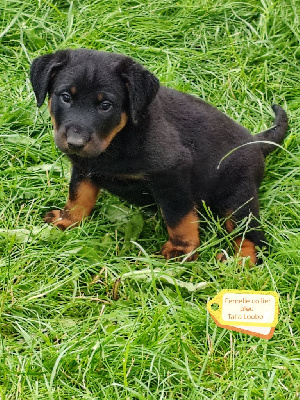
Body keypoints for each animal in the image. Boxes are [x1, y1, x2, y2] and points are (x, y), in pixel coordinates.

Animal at [30, 48, 288, 264]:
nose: (75, 143)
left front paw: (181, 249)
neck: (119, 139)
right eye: (65, 97)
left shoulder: (171, 175)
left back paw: (240, 262)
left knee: (253, 236)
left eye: (105, 105)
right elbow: (78, 196)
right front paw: (67, 220)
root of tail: (256, 143)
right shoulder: (83, 168)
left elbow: (178, 216)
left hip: (237, 198)